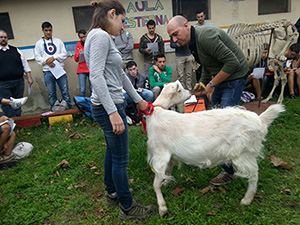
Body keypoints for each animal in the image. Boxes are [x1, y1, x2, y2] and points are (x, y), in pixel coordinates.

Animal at [145, 81, 286, 216]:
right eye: (180, 90)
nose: (190, 92)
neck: (156, 113)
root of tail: (260, 120)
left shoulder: (160, 154)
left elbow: (155, 184)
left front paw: (162, 207)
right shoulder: (170, 156)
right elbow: (168, 172)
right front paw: (166, 183)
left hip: (243, 153)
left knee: (254, 174)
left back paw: (247, 199)